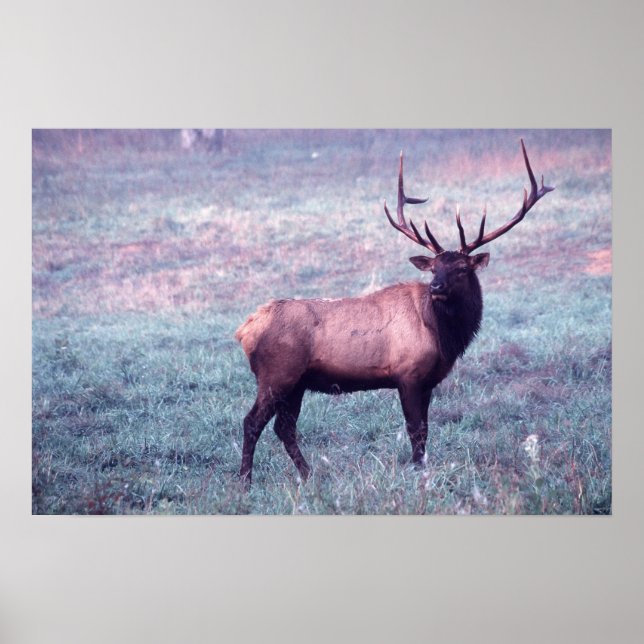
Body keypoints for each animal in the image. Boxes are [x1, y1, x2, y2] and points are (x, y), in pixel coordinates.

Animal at [235, 139, 554, 487]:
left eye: (461, 268)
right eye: (434, 268)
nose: (436, 287)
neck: (443, 336)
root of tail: (245, 330)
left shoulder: (428, 381)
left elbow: (425, 431)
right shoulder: (408, 374)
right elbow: (415, 431)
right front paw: (417, 472)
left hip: (296, 383)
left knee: (284, 428)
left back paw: (309, 475)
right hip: (276, 375)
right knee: (252, 422)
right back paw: (245, 481)